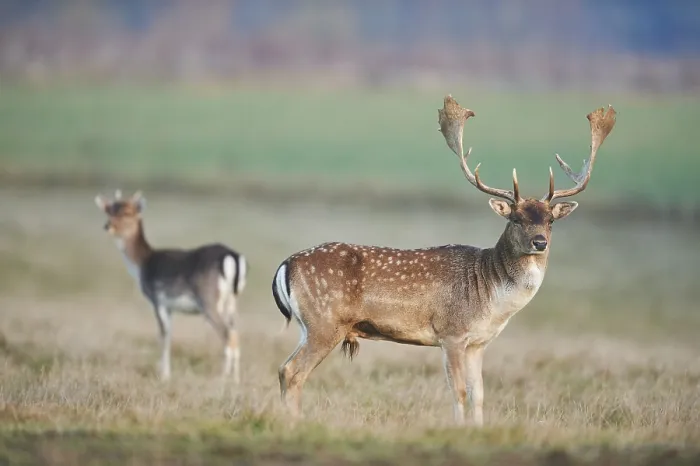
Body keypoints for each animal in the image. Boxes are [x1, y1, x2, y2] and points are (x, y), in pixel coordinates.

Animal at [94, 190, 247, 383]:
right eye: (109, 211)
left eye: (127, 212)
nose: (108, 226)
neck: (142, 264)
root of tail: (232, 256)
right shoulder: (170, 307)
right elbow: (168, 334)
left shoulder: (158, 300)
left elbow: (163, 336)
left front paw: (164, 375)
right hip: (232, 301)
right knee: (236, 333)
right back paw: (235, 379)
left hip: (209, 302)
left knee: (228, 334)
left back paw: (222, 378)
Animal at [271, 96, 616, 425]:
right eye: (516, 218)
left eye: (550, 221)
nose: (539, 242)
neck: (490, 295)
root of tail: (286, 266)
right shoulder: (451, 332)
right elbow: (459, 391)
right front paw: (458, 428)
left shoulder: (478, 343)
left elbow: (479, 394)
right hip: (325, 322)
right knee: (292, 372)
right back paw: (294, 423)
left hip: (309, 325)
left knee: (285, 370)